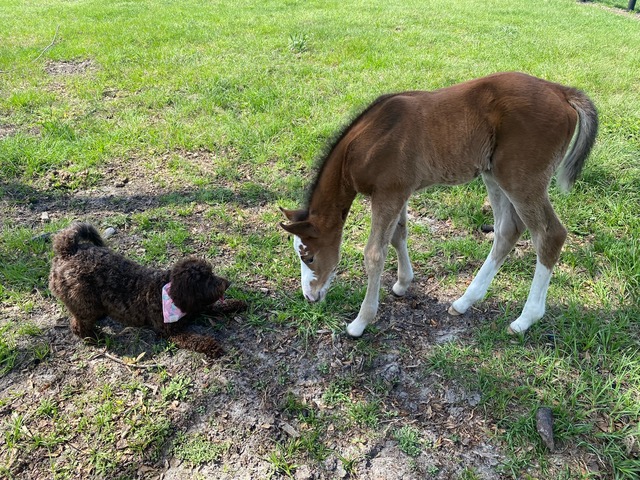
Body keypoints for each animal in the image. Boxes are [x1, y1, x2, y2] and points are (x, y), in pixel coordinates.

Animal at [280, 72, 600, 338]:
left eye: (308, 257)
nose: (310, 297)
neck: (366, 141)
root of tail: (560, 91)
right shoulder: (400, 192)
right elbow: (399, 234)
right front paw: (402, 284)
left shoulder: (387, 194)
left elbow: (374, 254)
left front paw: (360, 322)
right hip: (493, 173)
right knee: (508, 230)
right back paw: (464, 302)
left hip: (521, 179)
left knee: (550, 234)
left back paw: (524, 320)